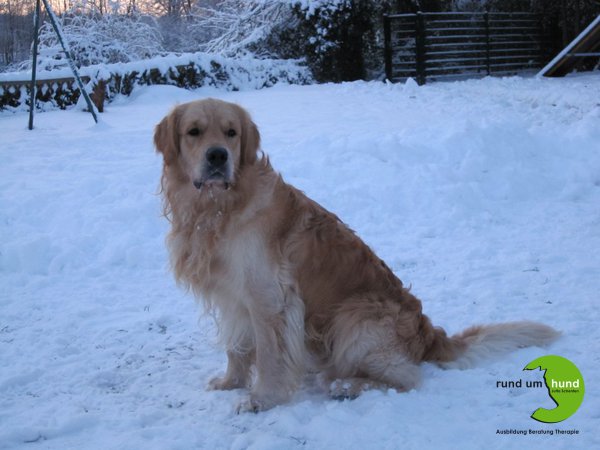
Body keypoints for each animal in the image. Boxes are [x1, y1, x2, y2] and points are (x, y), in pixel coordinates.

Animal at [154, 98, 559, 412]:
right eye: (194, 132)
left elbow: (268, 355)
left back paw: (346, 386)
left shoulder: (270, 297)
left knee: (407, 377)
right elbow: (237, 348)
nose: (217, 156)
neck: (217, 208)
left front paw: (262, 399)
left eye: (231, 133)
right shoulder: (233, 296)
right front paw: (230, 382)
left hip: (354, 316)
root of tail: (429, 334)